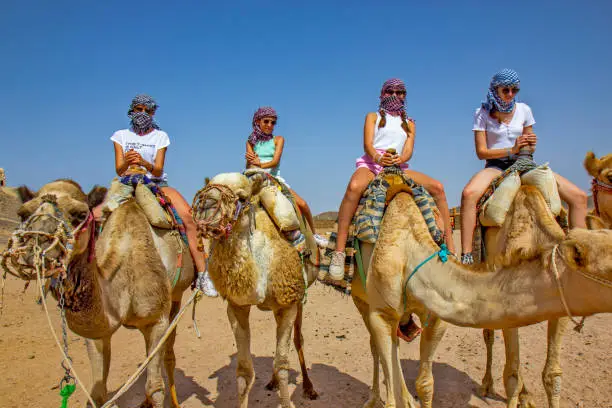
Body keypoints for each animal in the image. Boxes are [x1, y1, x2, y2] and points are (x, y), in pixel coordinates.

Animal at [1, 181, 194, 408]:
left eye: (80, 214)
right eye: (22, 213)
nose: (35, 246)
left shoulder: (156, 320)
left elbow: (155, 387)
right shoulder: (97, 334)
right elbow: (97, 394)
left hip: (175, 297)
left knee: (168, 353)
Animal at [192, 172, 320, 408]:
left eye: (242, 197)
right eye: (206, 188)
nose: (206, 205)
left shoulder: (288, 302)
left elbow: (282, 364)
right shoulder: (236, 307)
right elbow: (244, 371)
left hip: (298, 299)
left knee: (298, 340)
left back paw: (309, 387)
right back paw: (272, 382)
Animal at [354, 186, 612, 408]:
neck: (410, 251)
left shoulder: (436, 317)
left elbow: (425, 384)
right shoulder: (381, 313)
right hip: (361, 300)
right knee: (375, 347)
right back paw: (372, 399)